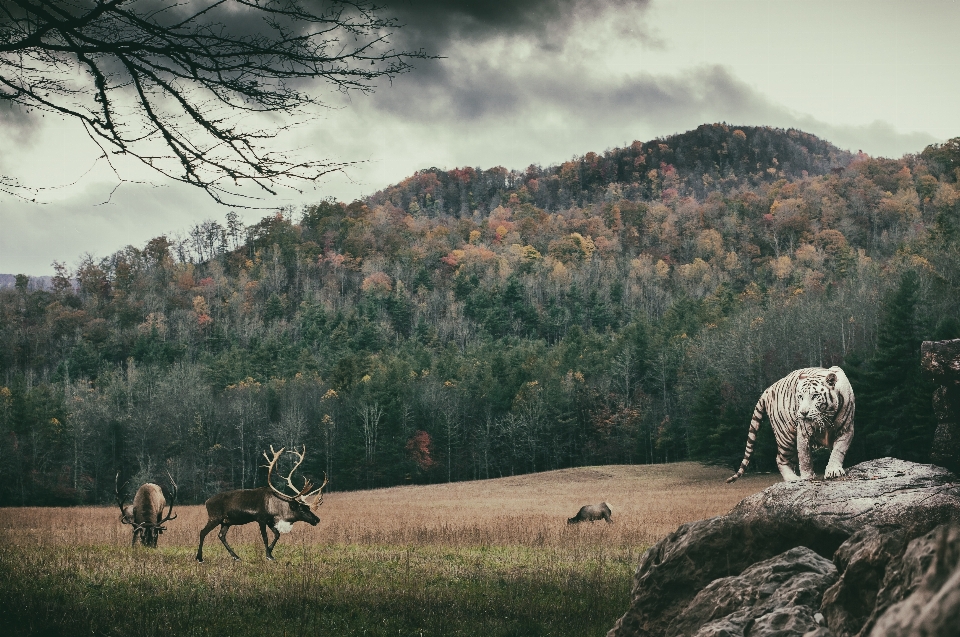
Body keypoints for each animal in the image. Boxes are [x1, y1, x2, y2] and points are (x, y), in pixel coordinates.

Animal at [197, 442, 328, 560]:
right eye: (302, 509)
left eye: (308, 507)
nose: (317, 519)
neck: (276, 508)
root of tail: (206, 502)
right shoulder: (261, 518)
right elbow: (265, 537)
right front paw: (268, 555)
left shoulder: (270, 520)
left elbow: (277, 534)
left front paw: (270, 552)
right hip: (215, 517)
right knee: (203, 532)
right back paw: (199, 557)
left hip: (226, 522)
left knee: (221, 536)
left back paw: (236, 556)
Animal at [728, 368, 856, 482]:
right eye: (800, 397)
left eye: (815, 396)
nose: (803, 413)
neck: (826, 417)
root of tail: (769, 388)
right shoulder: (803, 433)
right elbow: (805, 458)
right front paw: (807, 477)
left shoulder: (846, 430)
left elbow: (838, 451)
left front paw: (833, 471)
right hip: (786, 437)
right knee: (780, 459)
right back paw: (793, 479)